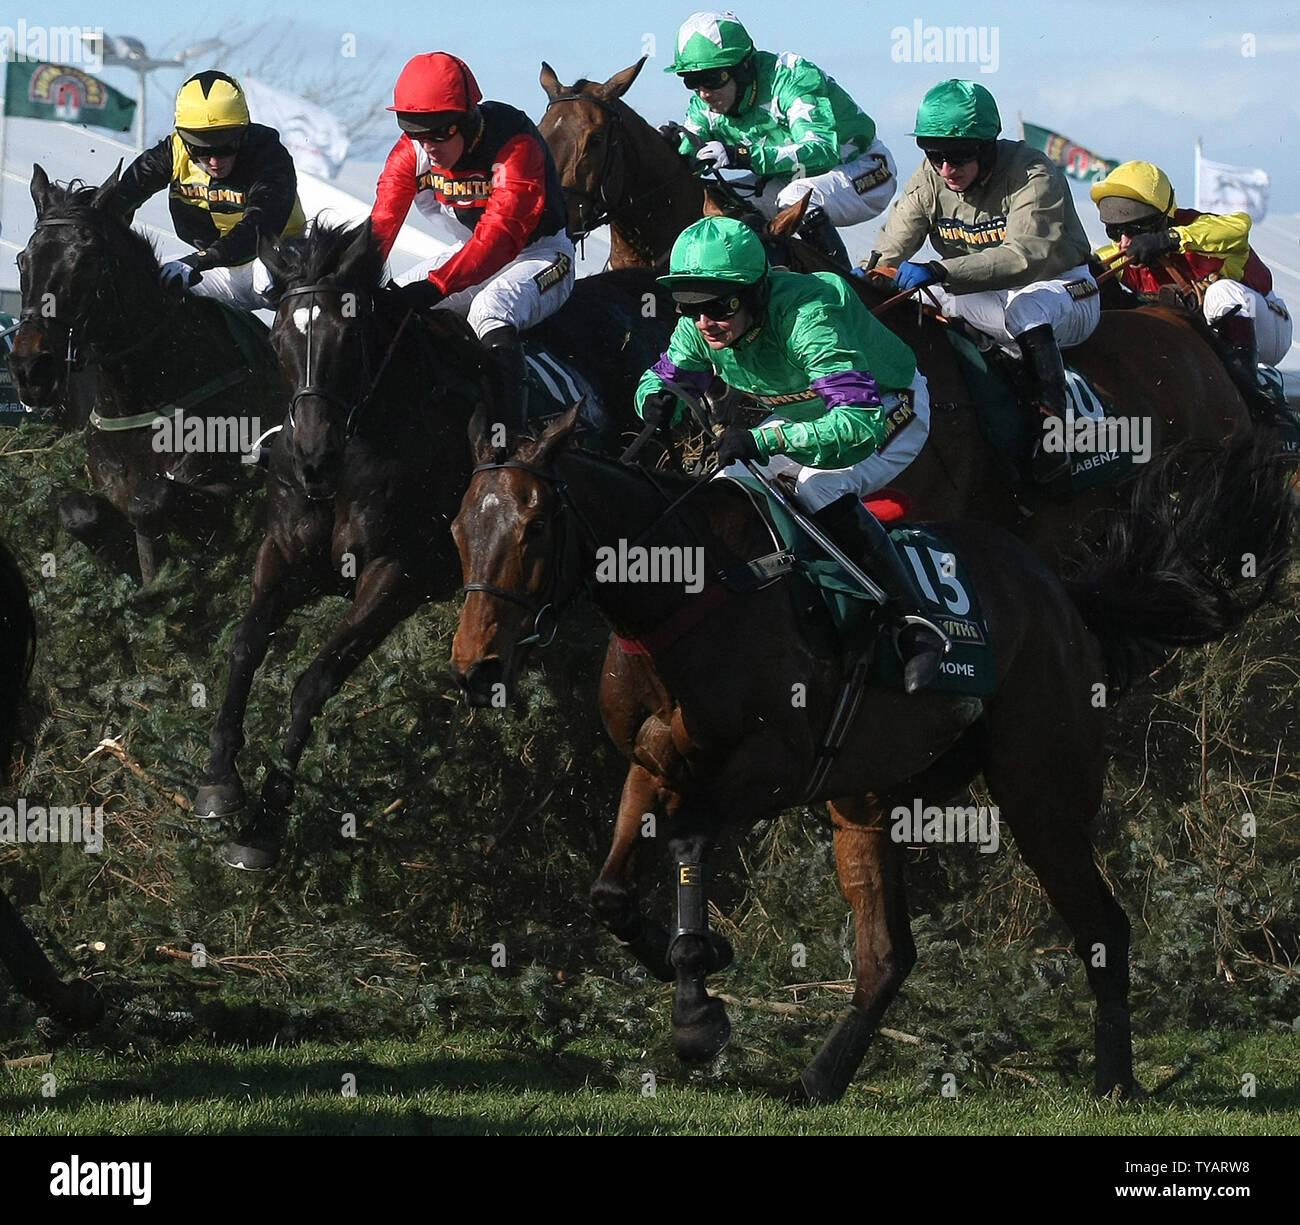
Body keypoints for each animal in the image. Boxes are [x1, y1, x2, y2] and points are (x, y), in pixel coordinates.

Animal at [9, 165, 284, 582]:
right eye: (23, 261)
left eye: (87, 261)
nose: (30, 369)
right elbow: (78, 512)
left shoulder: (228, 492)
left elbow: (153, 499)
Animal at [447, 410, 1289, 1102]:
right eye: (458, 530)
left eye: (532, 529)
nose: (476, 669)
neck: (687, 592)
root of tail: (1063, 596)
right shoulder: (652, 764)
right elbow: (611, 894)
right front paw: (699, 955)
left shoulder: (770, 767)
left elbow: (688, 842)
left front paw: (696, 1009)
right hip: (868, 801)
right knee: (886, 955)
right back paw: (820, 1077)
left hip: (1041, 791)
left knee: (1102, 924)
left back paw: (1115, 1078)